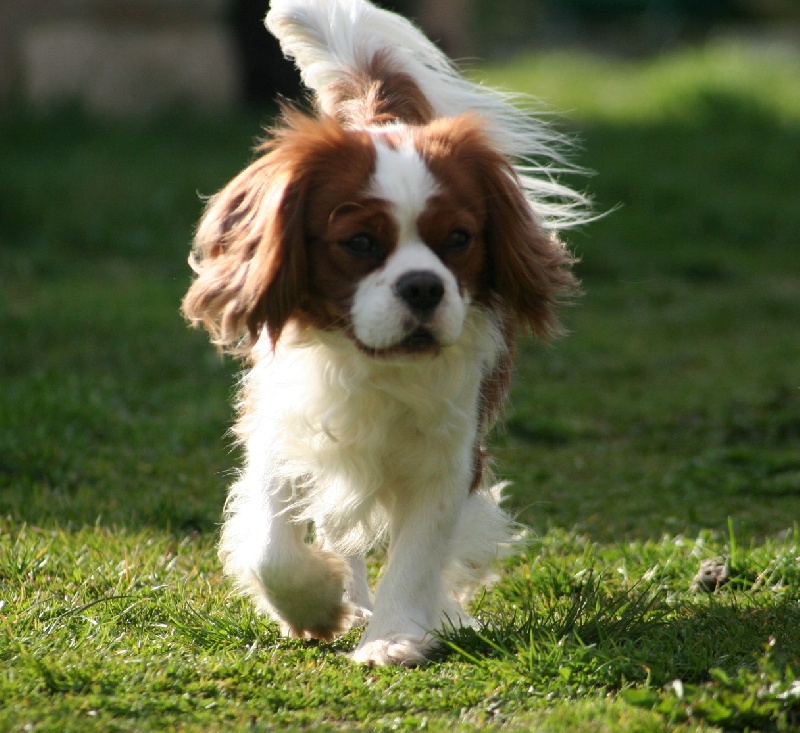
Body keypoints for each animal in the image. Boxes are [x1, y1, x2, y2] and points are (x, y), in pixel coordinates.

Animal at [183, 0, 588, 664]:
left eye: (459, 239)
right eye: (360, 243)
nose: (423, 286)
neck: (371, 364)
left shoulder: (450, 456)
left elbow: (419, 553)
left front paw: (396, 635)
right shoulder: (284, 427)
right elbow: (273, 546)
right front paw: (317, 606)